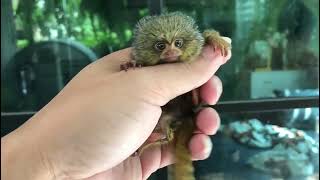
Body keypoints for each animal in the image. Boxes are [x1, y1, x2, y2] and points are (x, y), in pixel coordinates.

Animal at [120, 11, 230, 179]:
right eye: (160, 46)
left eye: (178, 43)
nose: (171, 52)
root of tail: (187, 114)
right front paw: (132, 64)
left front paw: (213, 38)